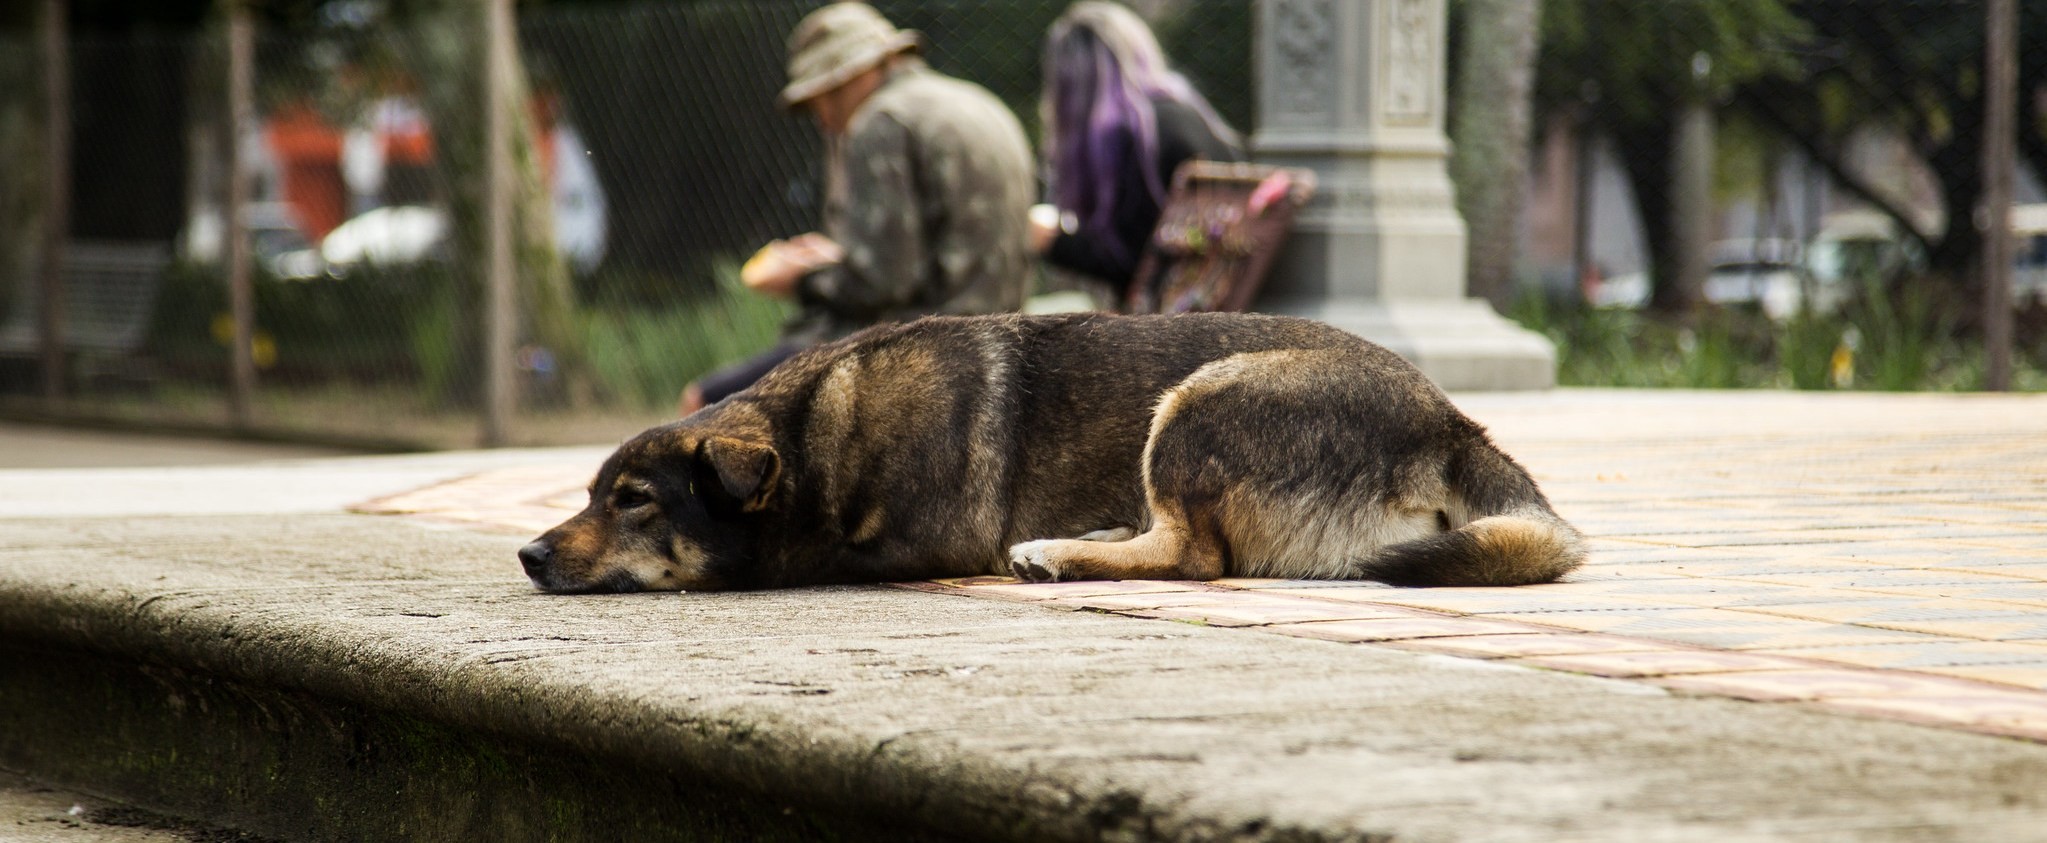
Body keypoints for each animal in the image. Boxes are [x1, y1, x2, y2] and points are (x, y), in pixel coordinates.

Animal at [515, 313, 1580, 597]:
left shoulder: (917, 542)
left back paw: (1057, 551)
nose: (526, 553)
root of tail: (1451, 421)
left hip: (1197, 397)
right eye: (591, 493)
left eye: (634, 499)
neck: (822, 433)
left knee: (1195, 554)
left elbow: (793, 555)